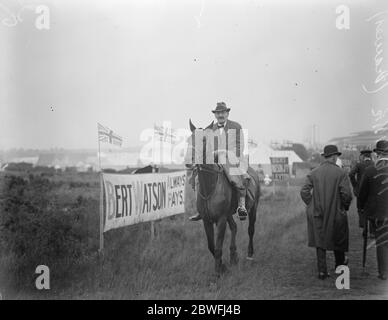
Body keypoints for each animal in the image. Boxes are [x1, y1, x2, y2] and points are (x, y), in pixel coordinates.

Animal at [188, 120, 260, 276]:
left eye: (204, 140)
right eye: (189, 139)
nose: (189, 162)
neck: (210, 186)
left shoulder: (220, 220)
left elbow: (218, 246)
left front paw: (218, 272)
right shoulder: (207, 220)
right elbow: (211, 246)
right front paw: (222, 266)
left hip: (253, 208)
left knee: (251, 229)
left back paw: (249, 255)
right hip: (228, 214)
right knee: (234, 227)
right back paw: (233, 256)